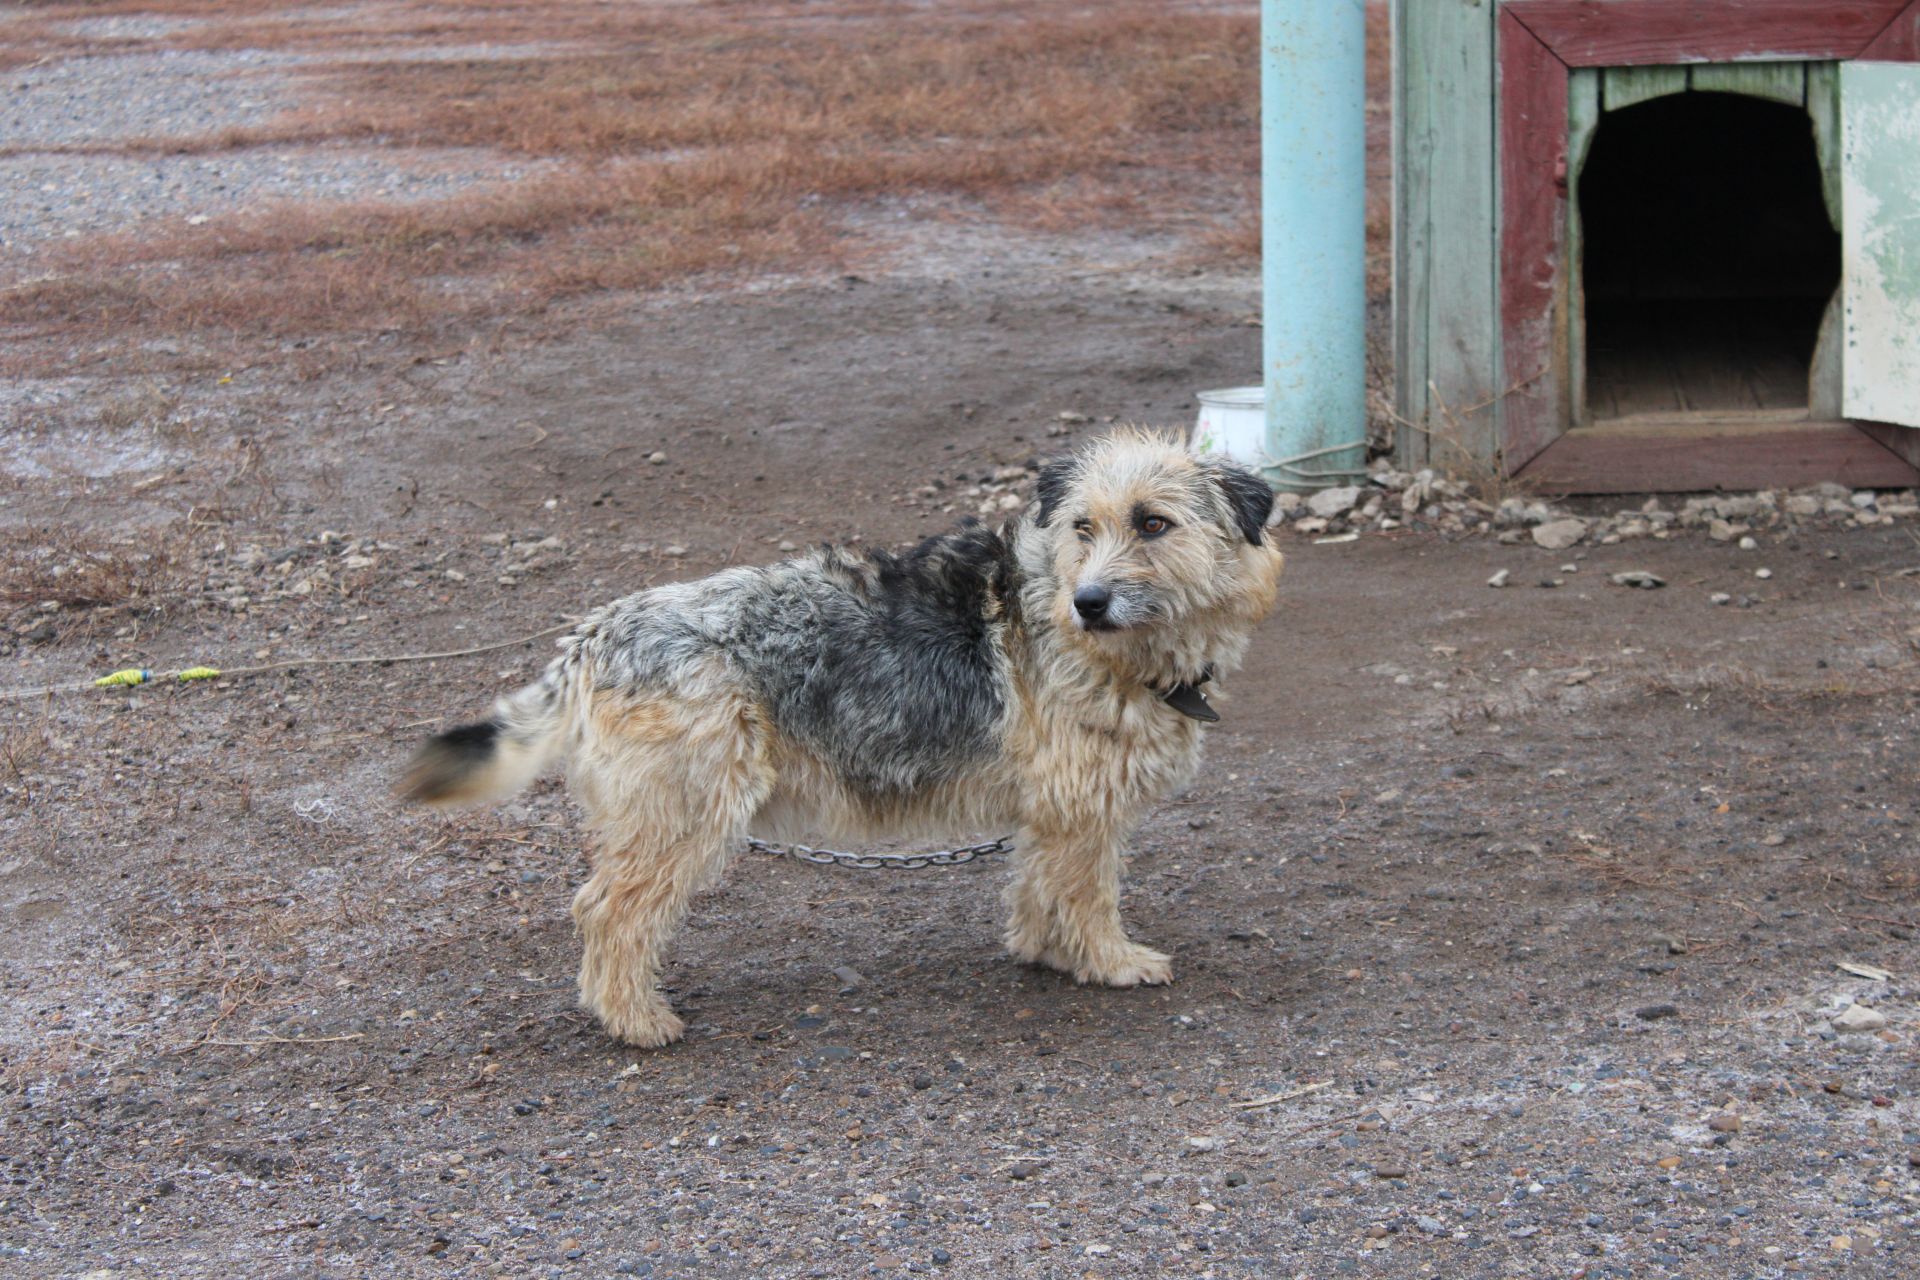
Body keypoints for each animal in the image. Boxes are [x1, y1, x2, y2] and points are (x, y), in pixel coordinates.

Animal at [397, 433, 1282, 1051]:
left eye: (1153, 523)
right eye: (1083, 527)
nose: (1089, 602)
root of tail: (595, 633)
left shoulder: (1057, 806)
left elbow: (1040, 884)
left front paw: (1045, 951)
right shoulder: (1082, 804)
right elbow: (1092, 892)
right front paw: (1110, 961)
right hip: (684, 814)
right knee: (607, 910)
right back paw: (636, 1020)